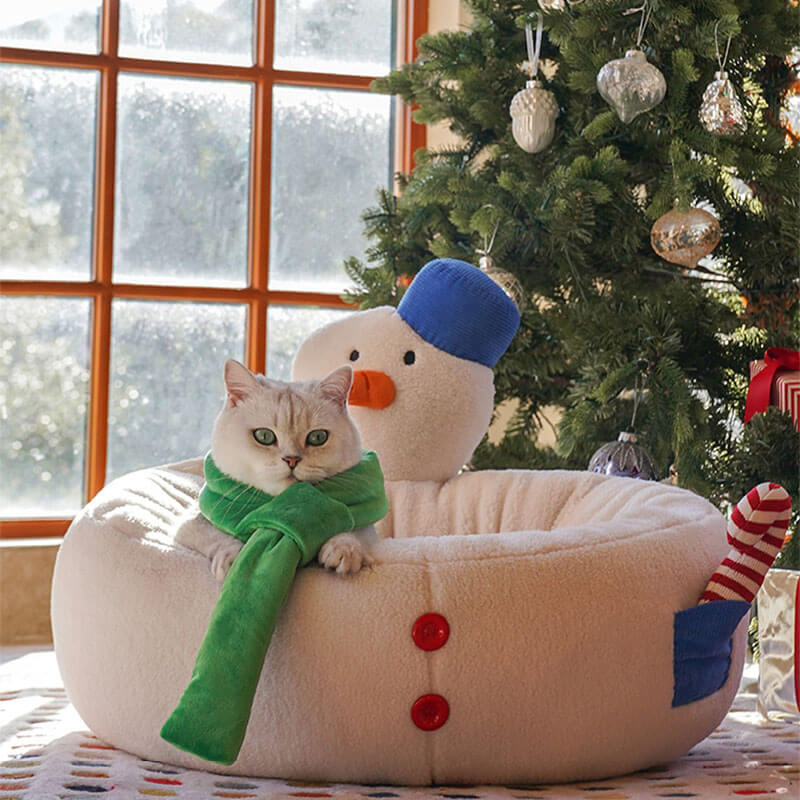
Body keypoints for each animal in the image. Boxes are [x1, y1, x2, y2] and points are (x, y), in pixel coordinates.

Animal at [175, 360, 376, 580]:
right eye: (264, 436)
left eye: (318, 437)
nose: (292, 459)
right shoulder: (189, 523)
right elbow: (216, 534)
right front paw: (234, 556)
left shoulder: (371, 528)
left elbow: (359, 530)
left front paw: (344, 549)